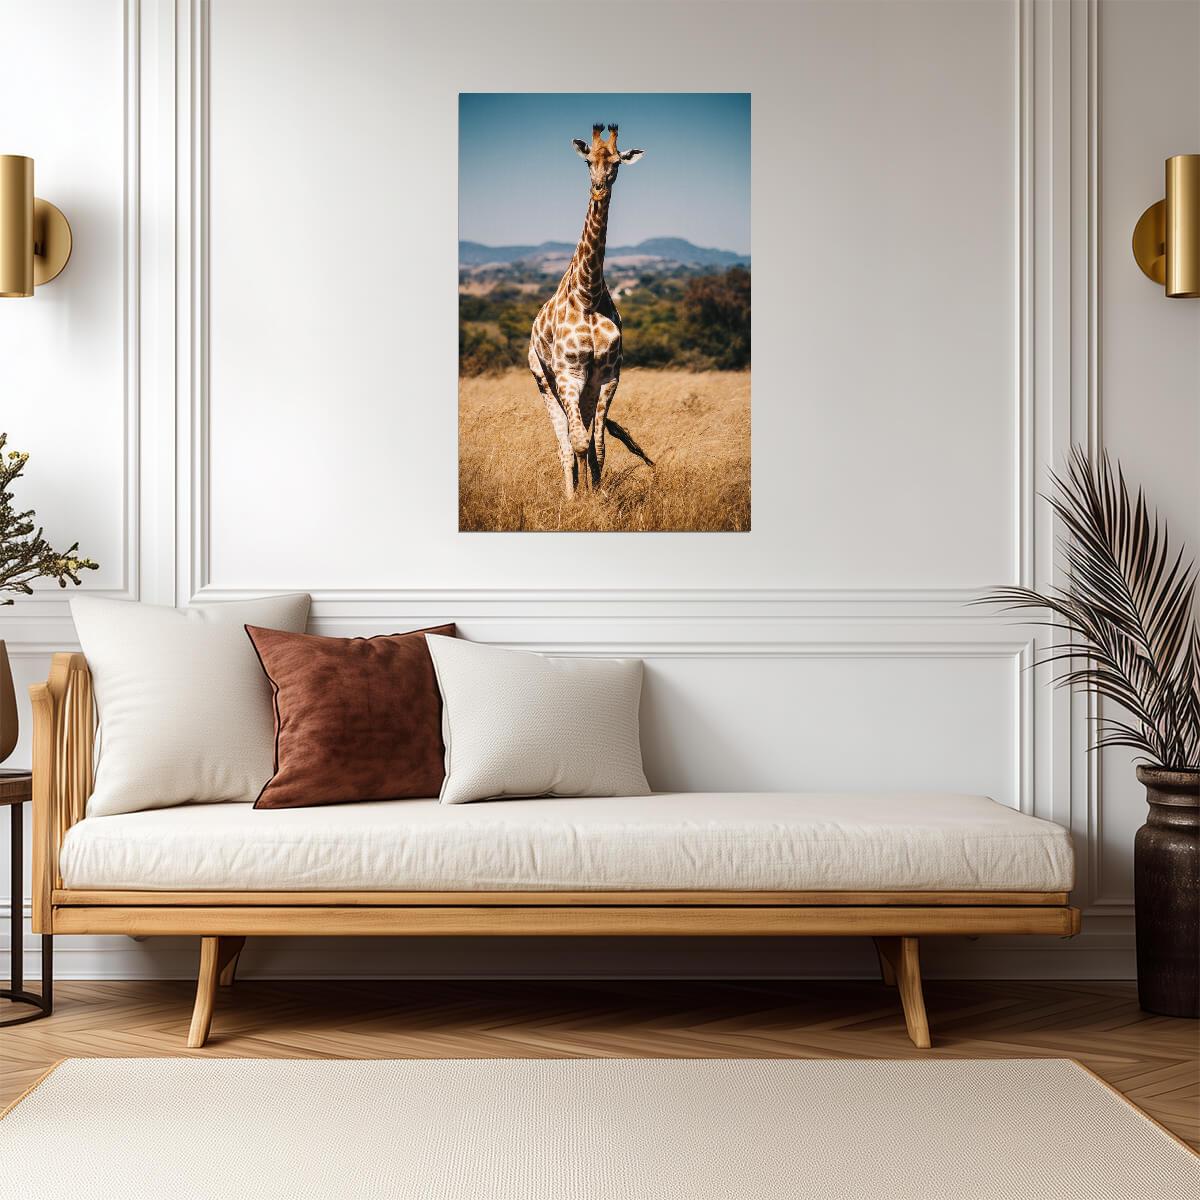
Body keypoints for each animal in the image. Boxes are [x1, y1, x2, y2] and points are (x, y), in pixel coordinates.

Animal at [528, 123, 655, 496]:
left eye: (616, 162)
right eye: (587, 161)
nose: (599, 189)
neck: (588, 294)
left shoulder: (608, 375)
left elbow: (597, 445)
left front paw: (598, 495)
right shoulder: (568, 373)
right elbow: (579, 443)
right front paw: (582, 501)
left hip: (582, 387)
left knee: (582, 435)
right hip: (544, 380)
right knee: (564, 444)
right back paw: (570, 496)